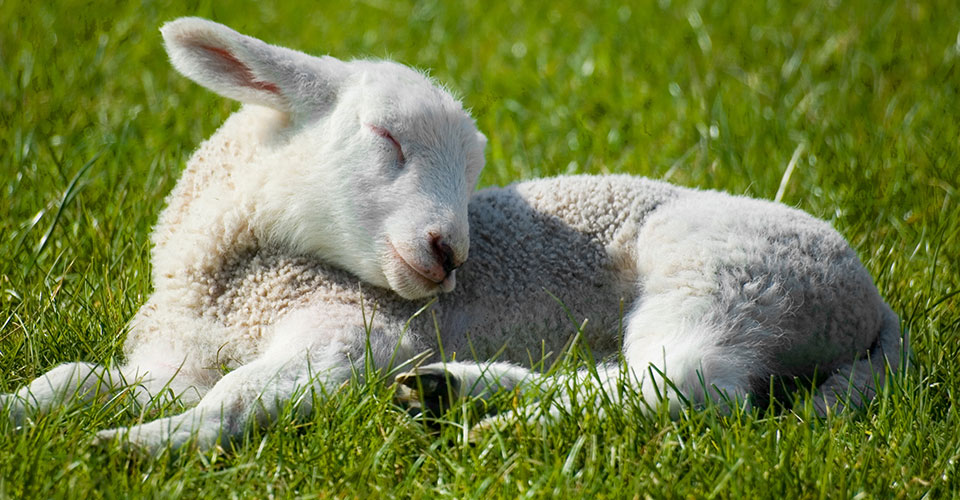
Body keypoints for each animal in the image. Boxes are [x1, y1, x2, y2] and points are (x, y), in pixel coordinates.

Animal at [1, 18, 907, 452]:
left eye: (473, 172)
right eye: (386, 138)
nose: (450, 253)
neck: (230, 286)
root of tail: (871, 304)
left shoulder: (355, 333)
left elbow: (240, 396)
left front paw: (140, 445)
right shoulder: (174, 360)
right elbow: (72, 377)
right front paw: (21, 412)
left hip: (729, 277)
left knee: (684, 384)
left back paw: (502, 421)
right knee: (632, 376)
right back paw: (455, 391)